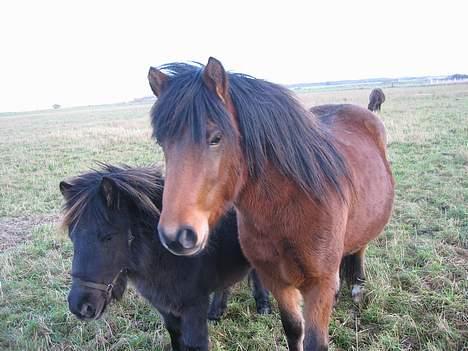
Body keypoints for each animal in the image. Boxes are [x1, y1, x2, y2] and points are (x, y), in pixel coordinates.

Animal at [60, 165, 270, 351]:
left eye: (108, 236)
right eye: (72, 236)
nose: (80, 307)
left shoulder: (194, 310)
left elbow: (195, 345)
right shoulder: (166, 310)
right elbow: (176, 340)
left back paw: (263, 306)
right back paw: (216, 312)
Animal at [147, 59, 394, 350]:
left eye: (215, 138)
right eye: (162, 142)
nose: (176, 236)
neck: (289, 208)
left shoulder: (318, 286)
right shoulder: (277, 281)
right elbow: (293, 330)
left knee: (360, 248)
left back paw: (357, 286)